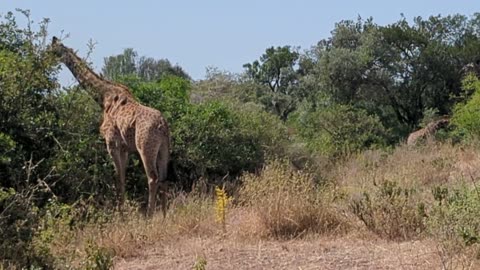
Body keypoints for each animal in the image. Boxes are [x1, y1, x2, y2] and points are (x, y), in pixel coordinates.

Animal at [50, 36, 170, 217]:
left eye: (51, 48)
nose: (47, 58)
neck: (102, 97)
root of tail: (163, 125)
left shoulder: (111, 142)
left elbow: (117, 178)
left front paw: (121, 214)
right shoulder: (125, 148)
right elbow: (122, 178)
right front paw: (123, 210)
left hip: (145, 146)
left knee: (153, 177)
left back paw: (149, 216)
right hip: (164, 149)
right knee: (163, 178)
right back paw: (163, 215)